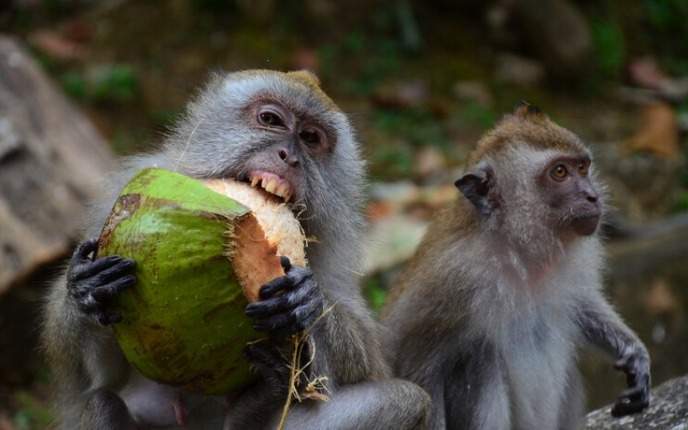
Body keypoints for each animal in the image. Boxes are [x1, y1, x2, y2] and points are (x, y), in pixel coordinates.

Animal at [43, 69, 430, 428]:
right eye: (271, 120)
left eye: (310, 138)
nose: (288, 156)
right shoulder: (117, 202)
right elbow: (93, 375)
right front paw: (89, 288)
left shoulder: (337, 250)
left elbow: (369, 365)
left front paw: (304, 301)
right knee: (101, 403)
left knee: (404, 400)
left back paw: (258, 405)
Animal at [382, 104, 652, 430]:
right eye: (559, 172)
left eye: (583, 167)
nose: (593, 196)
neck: (517, 250)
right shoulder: (451, 280)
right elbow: (417, 365)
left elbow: (583, 303)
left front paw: (634, 353)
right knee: (480, 359)